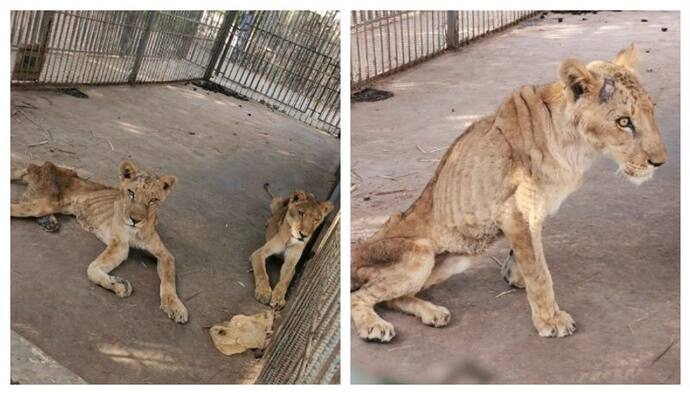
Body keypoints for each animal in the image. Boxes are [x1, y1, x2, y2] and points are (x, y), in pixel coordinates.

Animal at [11, 160, 188, 324]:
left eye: (153, 200)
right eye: (131, 193)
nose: (135, 220)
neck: (136, 231)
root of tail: (40, 166)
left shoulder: (165, 255)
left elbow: (169, 281)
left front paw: (176, 307)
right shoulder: (120, 246)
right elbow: (92, 269)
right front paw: (119, 285)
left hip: (50, 205)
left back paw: (49, 222)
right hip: (44, 203)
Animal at [352, 43, 664, 342]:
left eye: (652, 110)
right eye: (623, 122)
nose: (659, 162)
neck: (577, 147)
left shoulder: (528, 213)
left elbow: (528, 256)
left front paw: (515, 276)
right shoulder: (518, 212)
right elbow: (539, 272)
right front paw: (550, 320)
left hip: (460, 257)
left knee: (396, 297)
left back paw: (433, 313)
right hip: (421, 251)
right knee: (361, 296)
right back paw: (375, 326)